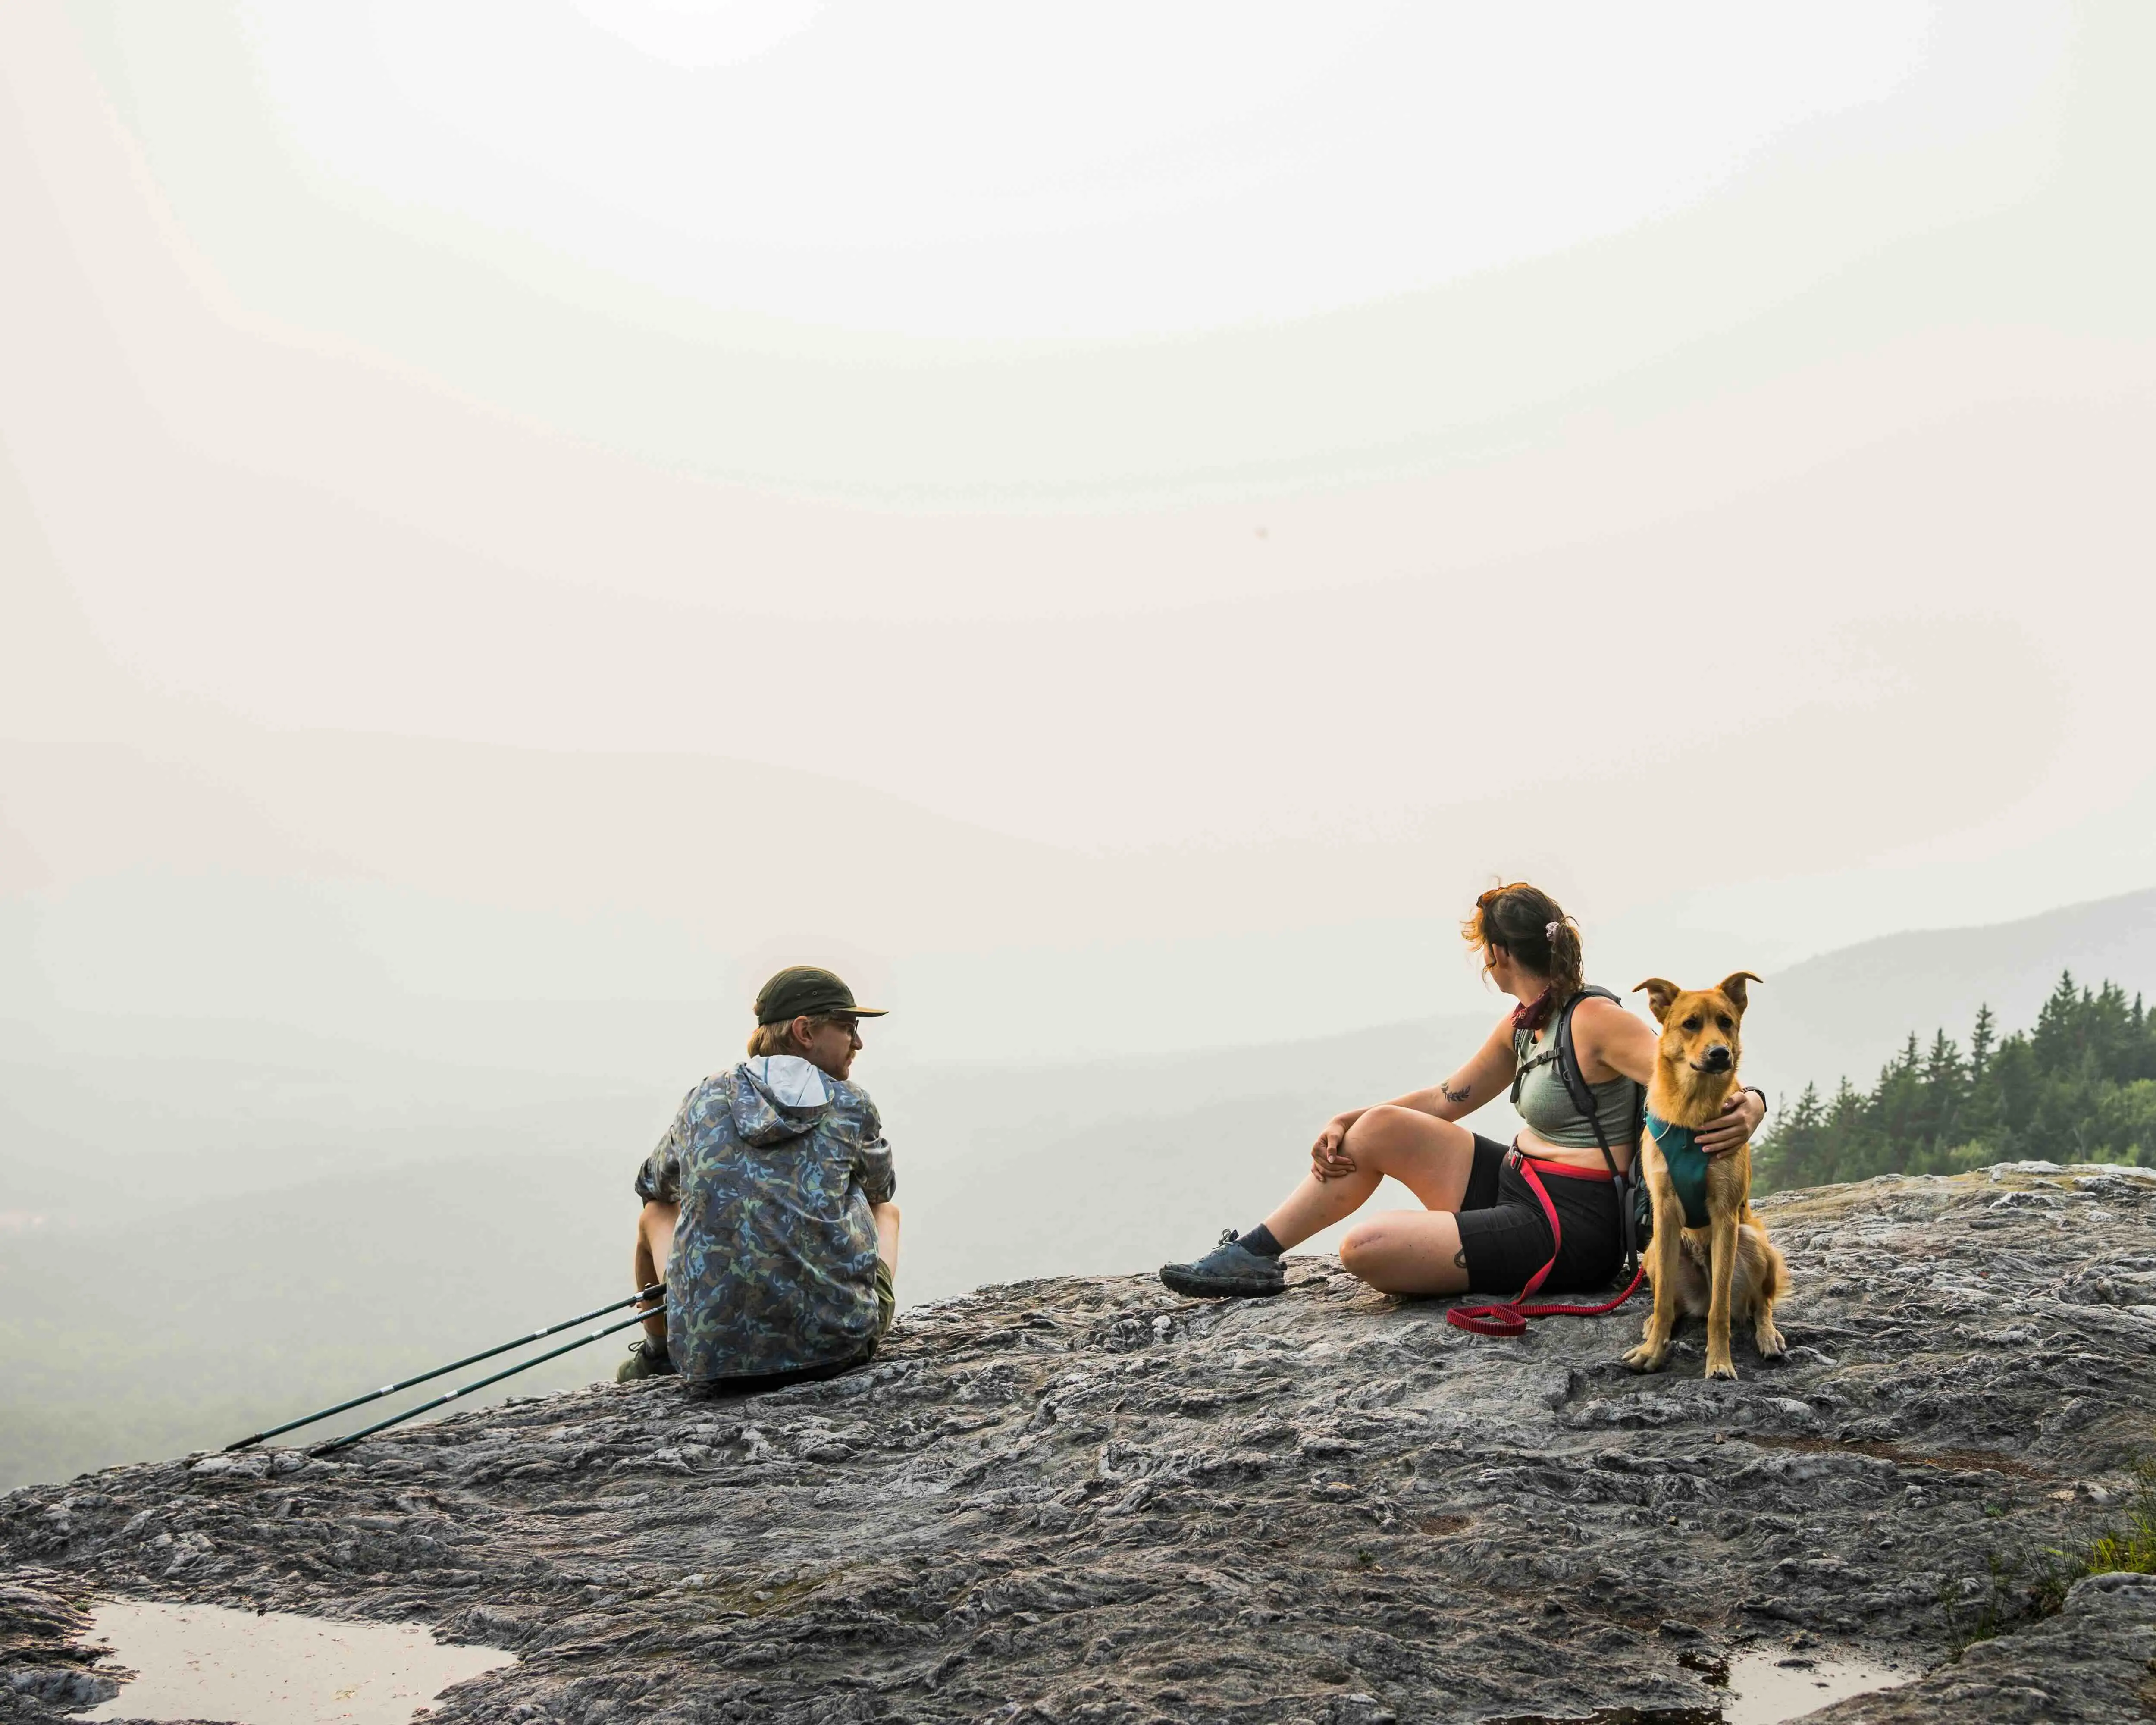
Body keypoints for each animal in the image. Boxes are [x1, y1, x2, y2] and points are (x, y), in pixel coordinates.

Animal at [1621, 979, 1785, 1380]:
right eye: (1691, 1024)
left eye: (1726, 1022)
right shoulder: (1664, 1213)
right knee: (1674, 1303)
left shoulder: (1725, 1215)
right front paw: (1653, 1352)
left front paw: (1720, 1362)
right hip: (1654, 1251)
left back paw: (1768, 1336)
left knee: (1759, 1303)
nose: (1720, 1054)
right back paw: (1655, 1325)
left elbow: (1720, 1312)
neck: (1692, 1112)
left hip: (1753, 1241)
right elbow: (1662, 1300)